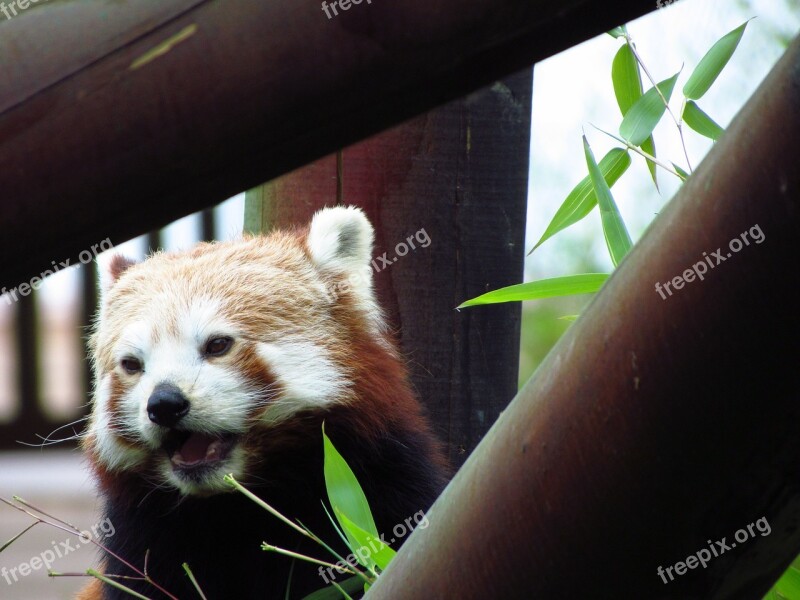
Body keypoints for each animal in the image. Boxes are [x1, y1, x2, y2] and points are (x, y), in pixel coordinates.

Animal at [80, 207, 450, 600]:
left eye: (217, 345)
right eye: (132, 365)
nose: (164, 403)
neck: (241, 506)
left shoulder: (386, 485)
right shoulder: (145, 541)